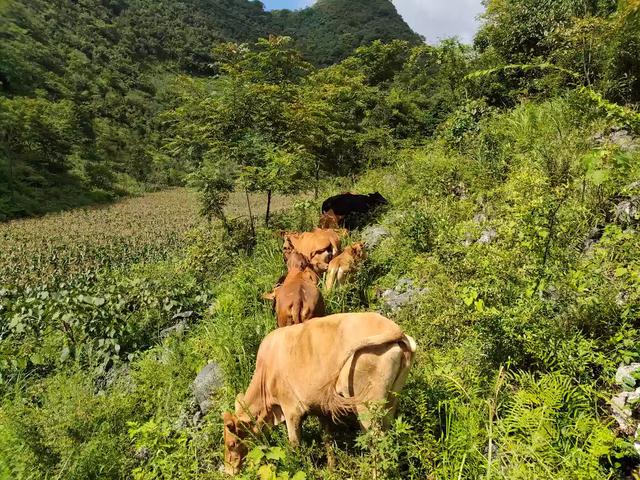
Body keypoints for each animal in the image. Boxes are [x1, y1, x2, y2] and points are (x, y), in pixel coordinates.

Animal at [222, 314, 418, 474]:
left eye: (232, 443)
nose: (229, 471)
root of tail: (393, 328)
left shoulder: (291, 409)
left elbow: (295, 444)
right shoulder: (321, 408)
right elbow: (327, 439)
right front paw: (331, 469)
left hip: (367, 406)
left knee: (377, 441)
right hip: (391, 399)